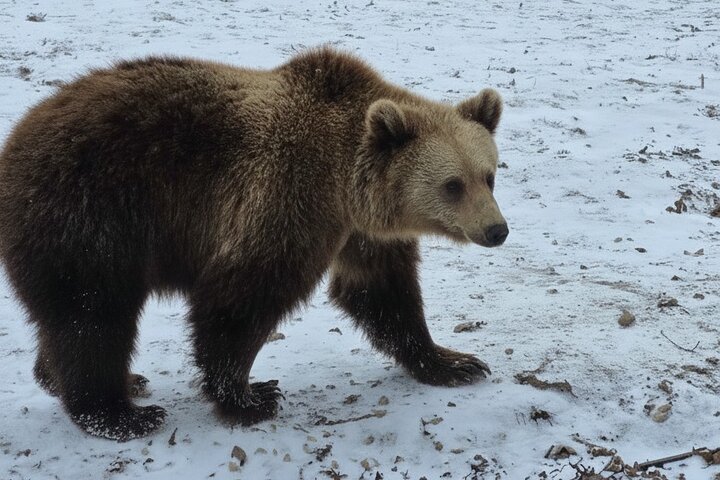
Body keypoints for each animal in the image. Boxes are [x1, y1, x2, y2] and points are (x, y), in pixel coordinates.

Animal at [0, 47, 508, 441]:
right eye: (452, 185)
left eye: (489, 175)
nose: (497, 230)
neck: (343, 180)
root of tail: (16, 141)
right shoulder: (286, 194)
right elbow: (243, 296)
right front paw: (250, 396)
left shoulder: (357, 231)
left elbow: (382, 292)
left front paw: (454, 362)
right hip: (91, 215)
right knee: (94, 316)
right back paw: (121, 414)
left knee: (71, 318)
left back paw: (92, 380)